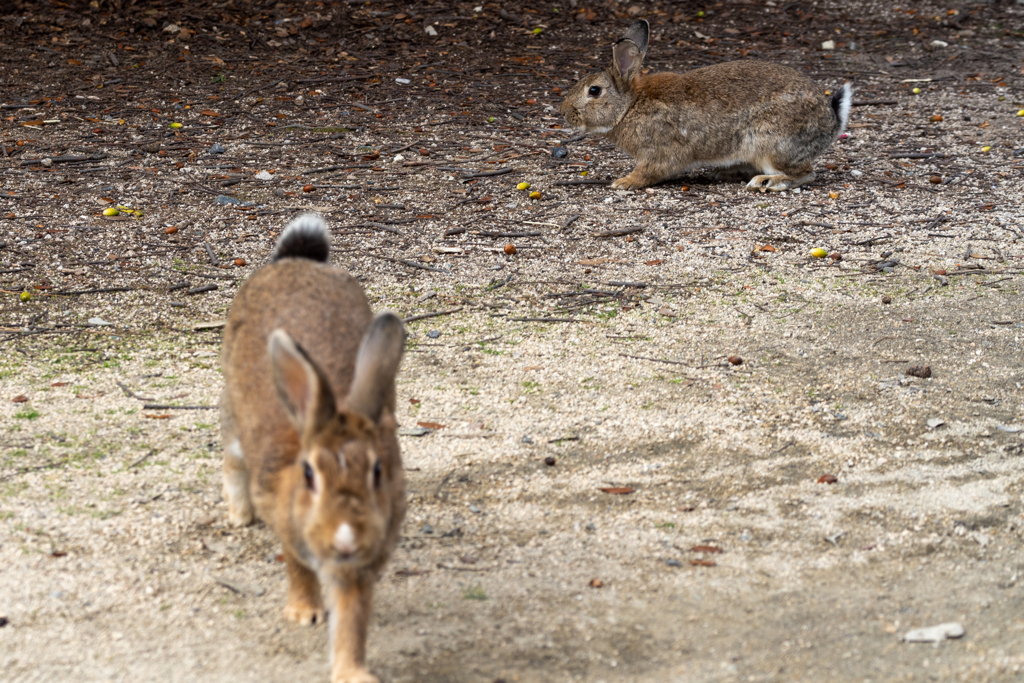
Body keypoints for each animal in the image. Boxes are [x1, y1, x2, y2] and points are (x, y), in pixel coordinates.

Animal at [222, 215, 405, 683]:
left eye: (378, 471)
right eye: (309, 474)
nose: (345, 537)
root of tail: (294, 260)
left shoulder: (359, 564)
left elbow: (353, 614)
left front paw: (354, 673)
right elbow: (298, 566)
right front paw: (305, 613)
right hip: (231, 407)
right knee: (231, 458)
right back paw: (239, 514)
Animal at [561, 19, 847, 189]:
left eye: (594, 91)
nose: (564, 112)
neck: (630, 106)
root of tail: (831, 119)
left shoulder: (660, 151)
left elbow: (648, 171)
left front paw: (625, 182)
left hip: (771, 143)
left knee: (805, 173)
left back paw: (766, 181)